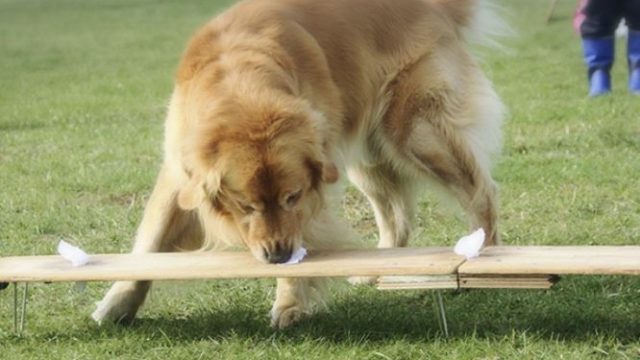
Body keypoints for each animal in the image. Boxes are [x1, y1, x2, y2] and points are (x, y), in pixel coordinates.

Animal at [94, 0, 504, 328]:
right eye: (245, 206)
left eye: (291, 197)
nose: (277, 256)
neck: (241, 85)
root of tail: (430, 4)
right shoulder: (179, 174)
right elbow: (149, 244)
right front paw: (117, 304)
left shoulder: (311, 187)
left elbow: (302, 250)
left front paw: (290, 303)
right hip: (367, 152)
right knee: (398, 217)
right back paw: (374, 269)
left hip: (414, 132)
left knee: (480, 191)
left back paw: (485, 259)